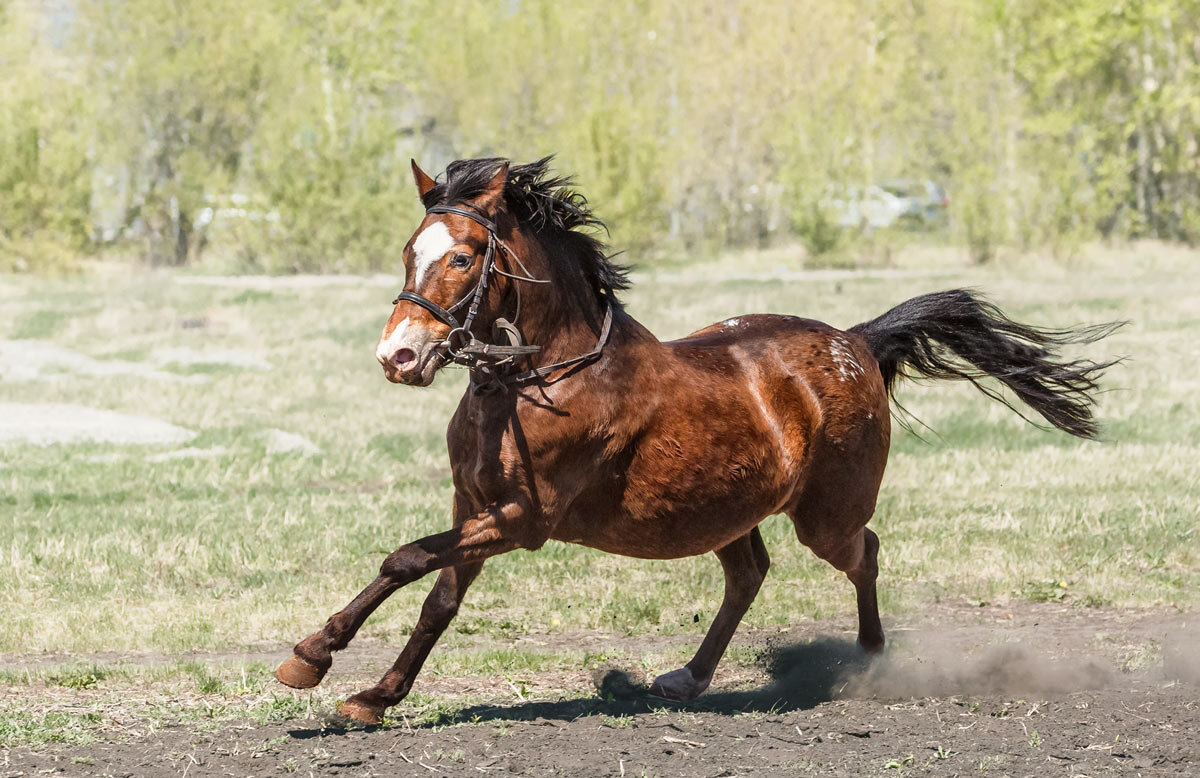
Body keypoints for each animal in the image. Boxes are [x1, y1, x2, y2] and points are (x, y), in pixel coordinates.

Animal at [276, 156, 1118, 725]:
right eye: (409, 250)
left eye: (461, 257)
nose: (398, 357)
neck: (534, 381)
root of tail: (854, 340)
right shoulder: (474, 507)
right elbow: (437, 598)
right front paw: (372, 693)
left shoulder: (524, 521)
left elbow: (406, 558)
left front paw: (312, 654)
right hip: (726, 509)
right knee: (749, 575)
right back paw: (687, 678)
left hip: (826, 514)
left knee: (863, 553)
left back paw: (872, 665)